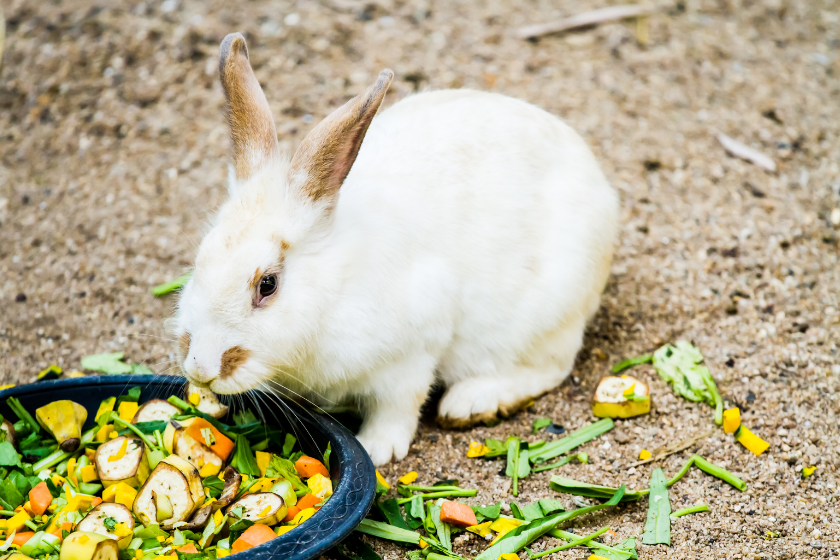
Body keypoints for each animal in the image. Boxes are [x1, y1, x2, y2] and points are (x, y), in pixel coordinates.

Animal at [174, 32, 620, 466]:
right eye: (199, 261)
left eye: (267, 284)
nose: (200, 368)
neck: (335, 285)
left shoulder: (410, 355)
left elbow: (398, 407)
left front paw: (376, 449)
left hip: (544, 319)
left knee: (551, 368)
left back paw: (472, 402)